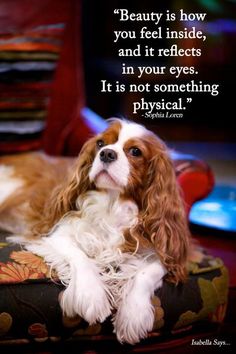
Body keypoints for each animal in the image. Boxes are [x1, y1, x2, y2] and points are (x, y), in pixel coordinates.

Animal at [0, 118, 189, 342]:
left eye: (135, 151)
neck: (111, 204)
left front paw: (134, 313)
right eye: (100, 144)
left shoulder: (167, 251)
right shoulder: (53, 235)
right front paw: (91, 295)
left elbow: (149, 272)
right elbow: (80, 256)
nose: (107, 153)